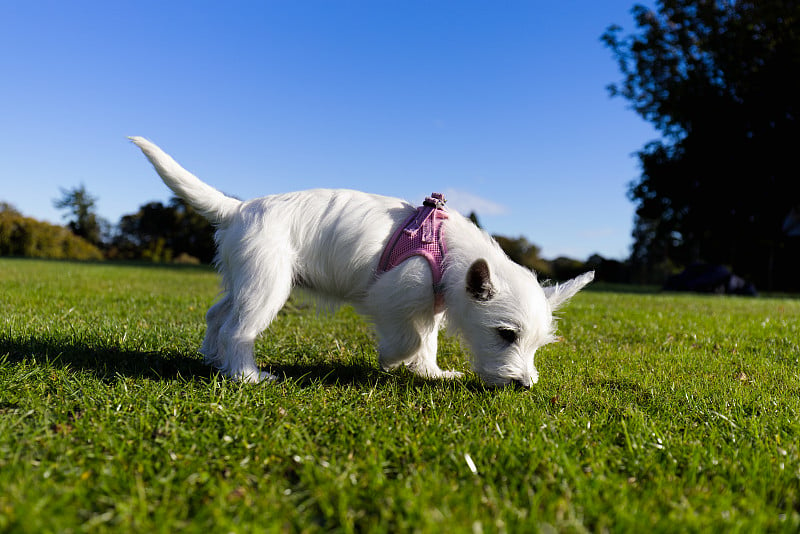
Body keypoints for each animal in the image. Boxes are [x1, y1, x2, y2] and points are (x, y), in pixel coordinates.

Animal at [130, 138, 592, 390]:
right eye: (506, 334)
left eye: (537, 344)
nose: (524, 386)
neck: (445, 251)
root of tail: (239, 208)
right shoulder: (390, 298)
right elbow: (408, 339)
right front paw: (391, 360)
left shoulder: (429, 307)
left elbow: (428, 342)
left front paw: (432, 373)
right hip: (267, 287)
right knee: (238, 329)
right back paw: (247, 376)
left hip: (244, 282)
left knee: (216, 315)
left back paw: (214, 360)